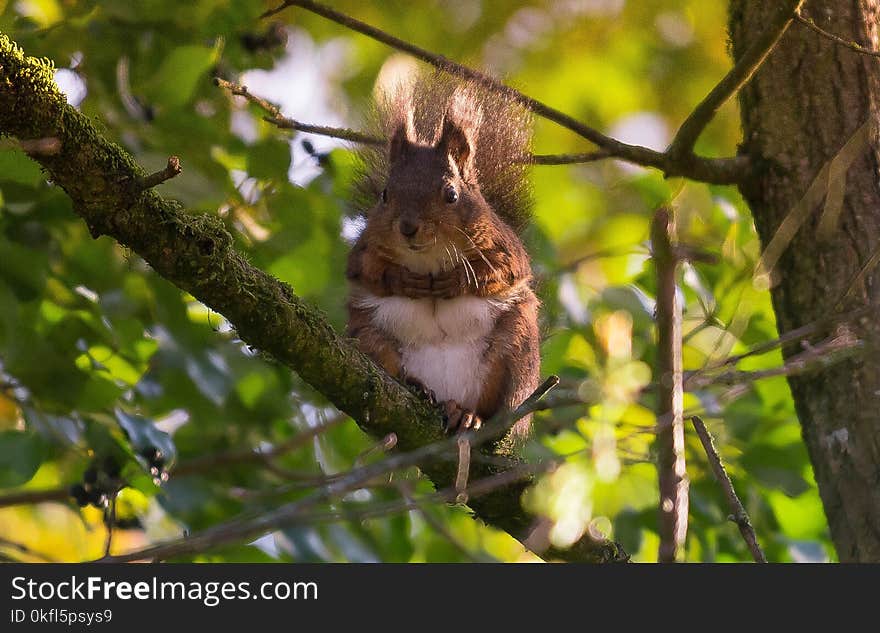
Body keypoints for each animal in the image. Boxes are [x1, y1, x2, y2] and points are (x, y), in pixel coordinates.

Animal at [346, 74, 540, 434]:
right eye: (384, 194)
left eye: (451, 194)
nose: (407, 228)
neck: (430, 256)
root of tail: (448, 393)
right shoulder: (364, 248)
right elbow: (366, 271)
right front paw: (404, 280)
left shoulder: (506, 249)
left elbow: (503, 272)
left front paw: (456, 280)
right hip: (369, 339)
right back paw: (418, 387)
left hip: (514, 350)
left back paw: (467, 416)